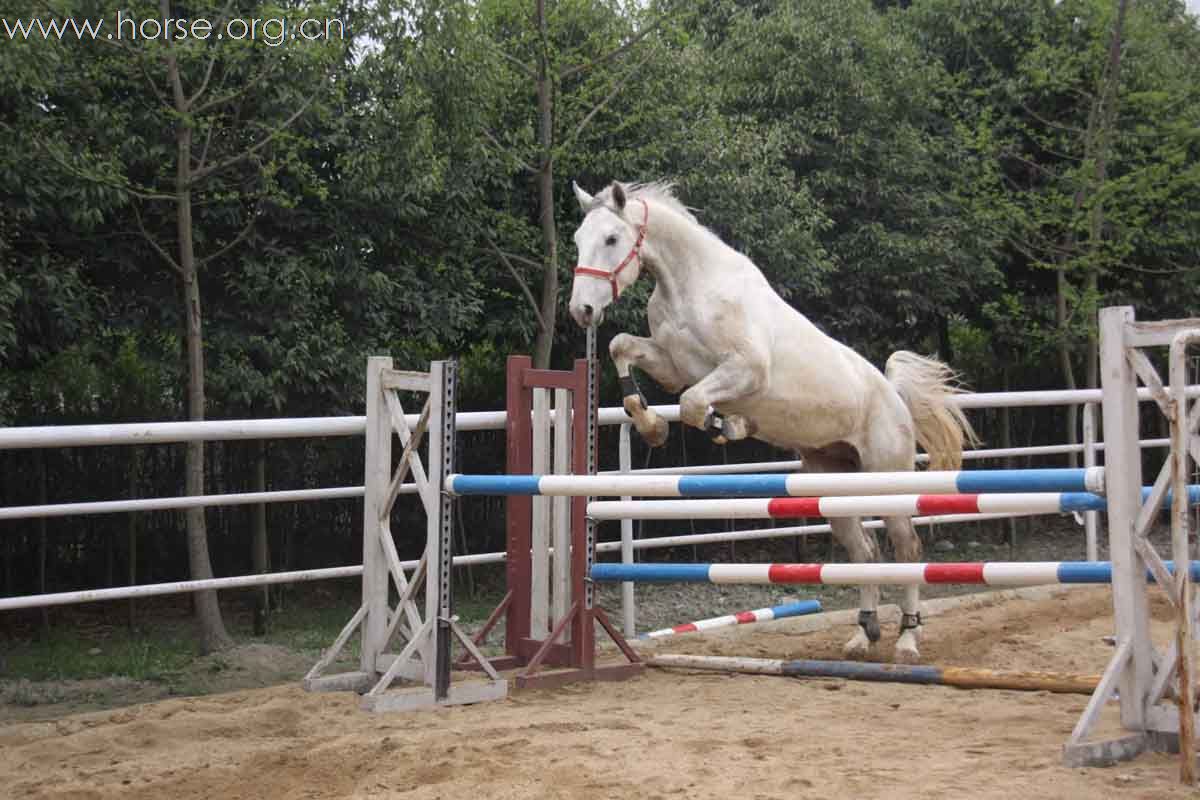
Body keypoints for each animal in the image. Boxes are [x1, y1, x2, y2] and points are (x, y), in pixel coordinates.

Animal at [564, 181, 974, 662]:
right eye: (578, 239)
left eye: (612, 238)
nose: (581, 310)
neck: (689, 285)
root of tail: (894, 396)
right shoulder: (671, 363)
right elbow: (621, 347)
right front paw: (653, 426)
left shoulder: (742, 370)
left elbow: (692, 403)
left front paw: (728, 426)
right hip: (832, 482)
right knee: (864, 549)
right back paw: (862, 634)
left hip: (887, 481)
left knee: (907, 547)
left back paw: (908, 640)